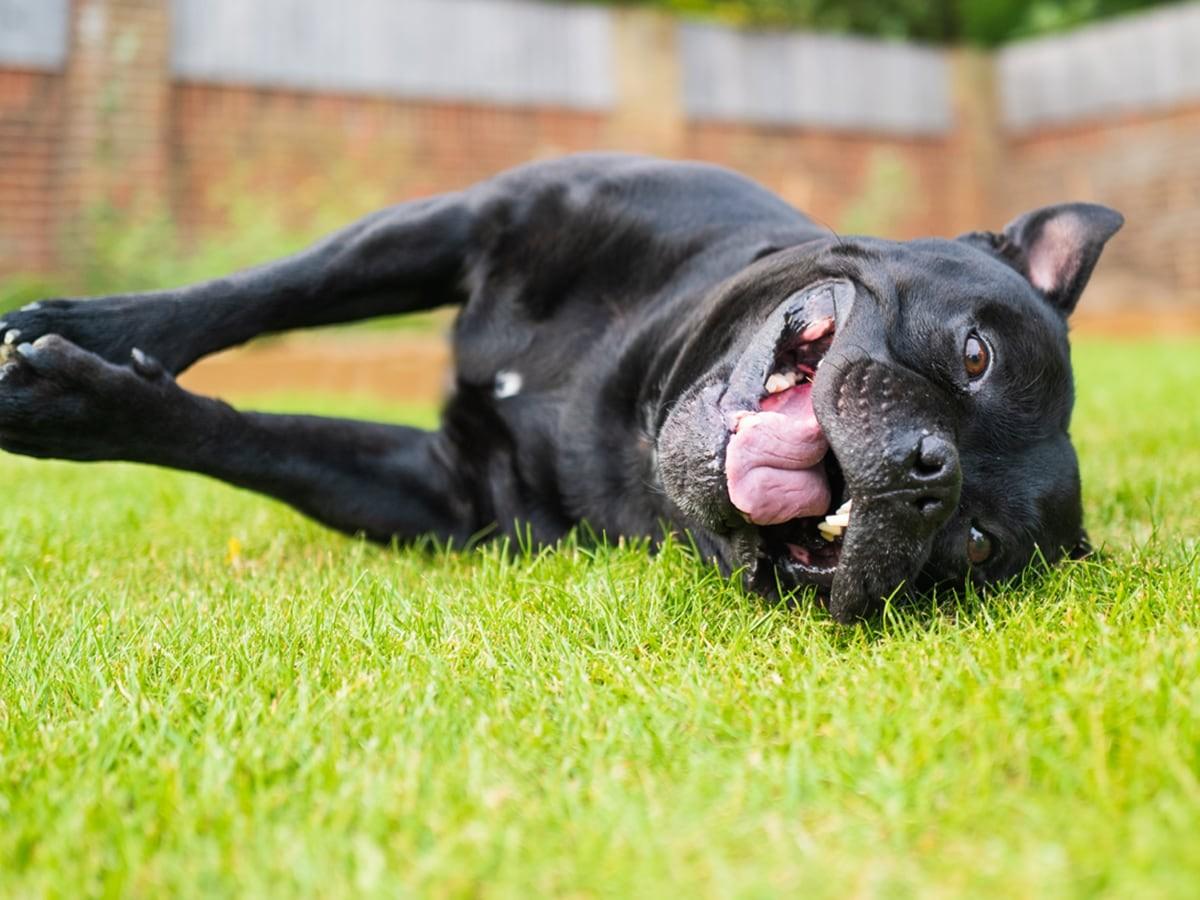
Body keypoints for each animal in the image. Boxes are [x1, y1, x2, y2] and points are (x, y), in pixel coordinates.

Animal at [2, 153, 1123, 619]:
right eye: (975, 356)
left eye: (969, 547)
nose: (930, 473)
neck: (631, 392)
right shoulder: (470, 216)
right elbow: (272, 290)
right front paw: (94, 332)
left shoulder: (443, 493)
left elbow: (253, 443)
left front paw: (79, 404)